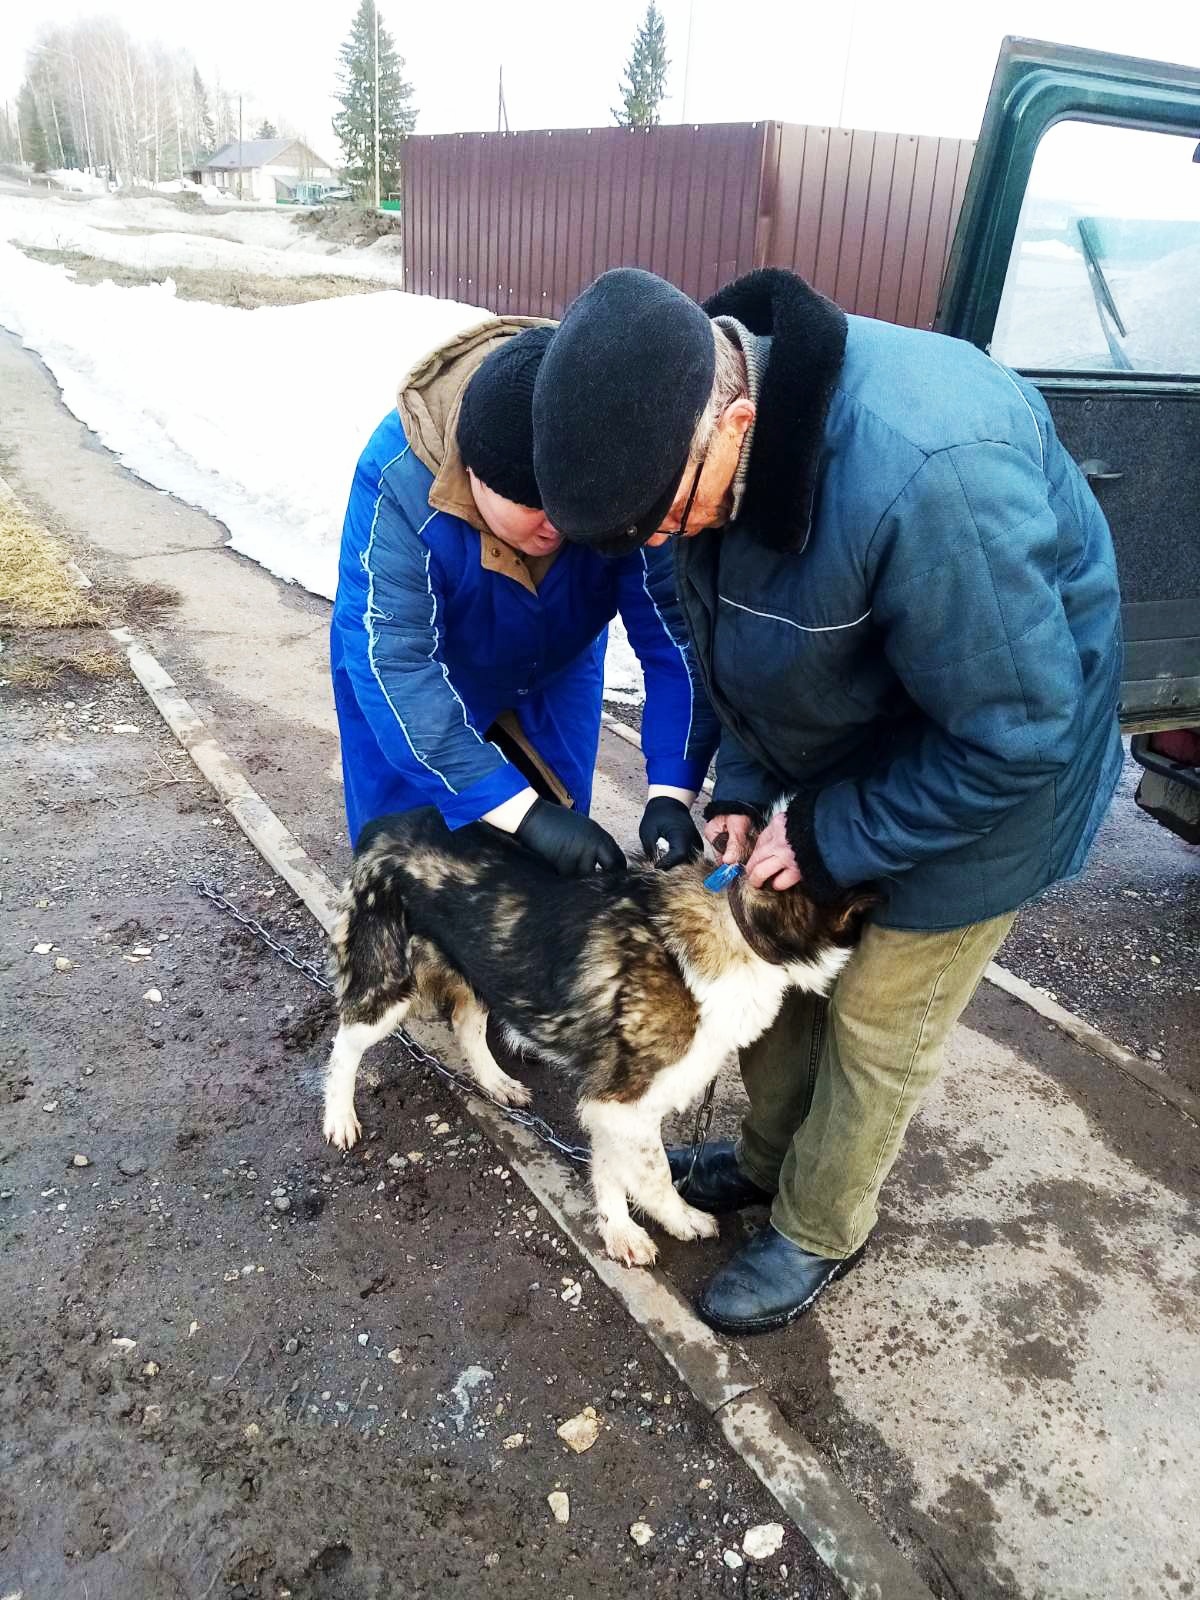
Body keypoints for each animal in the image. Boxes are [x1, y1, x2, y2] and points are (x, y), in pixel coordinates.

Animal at [323, 807, 874, 1267]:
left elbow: (611, 1168)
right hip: (386, 983)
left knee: (467, 1022)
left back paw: (496, 1081)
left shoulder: (615, 1102)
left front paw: (619, 1232)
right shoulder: (624, 1102)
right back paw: (339, 1117)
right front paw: (680, 1218)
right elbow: (653, 1174)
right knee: (345, 1044)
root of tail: (387, 824)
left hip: (485, 965)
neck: (735, 926)